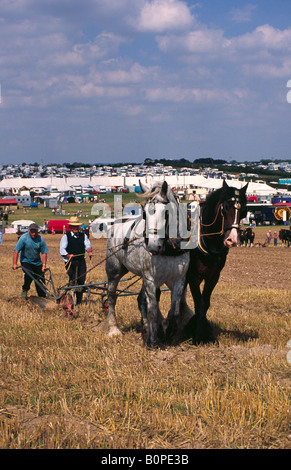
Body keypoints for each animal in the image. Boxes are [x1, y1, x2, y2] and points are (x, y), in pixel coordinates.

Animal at [104, 182, 193, 346]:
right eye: (144, 214)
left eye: (166, 213)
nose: (152, 246)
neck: (169, 248)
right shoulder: (151, 279)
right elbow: (152, 308)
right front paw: (153, 340)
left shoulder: (179, 280)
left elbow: (174, 310)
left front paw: (167, 330)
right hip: (114, 270)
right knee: (111, 297)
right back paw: (114, 330)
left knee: (140, 299)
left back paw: (145, 326)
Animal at [187, 178, 249, 344]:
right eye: (225, 207)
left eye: (243, 210)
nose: (232, 240)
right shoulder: (193, 275)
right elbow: (198, 301)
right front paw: (197, 335)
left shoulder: (214, 275)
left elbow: (205, 303)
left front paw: (205, 333)